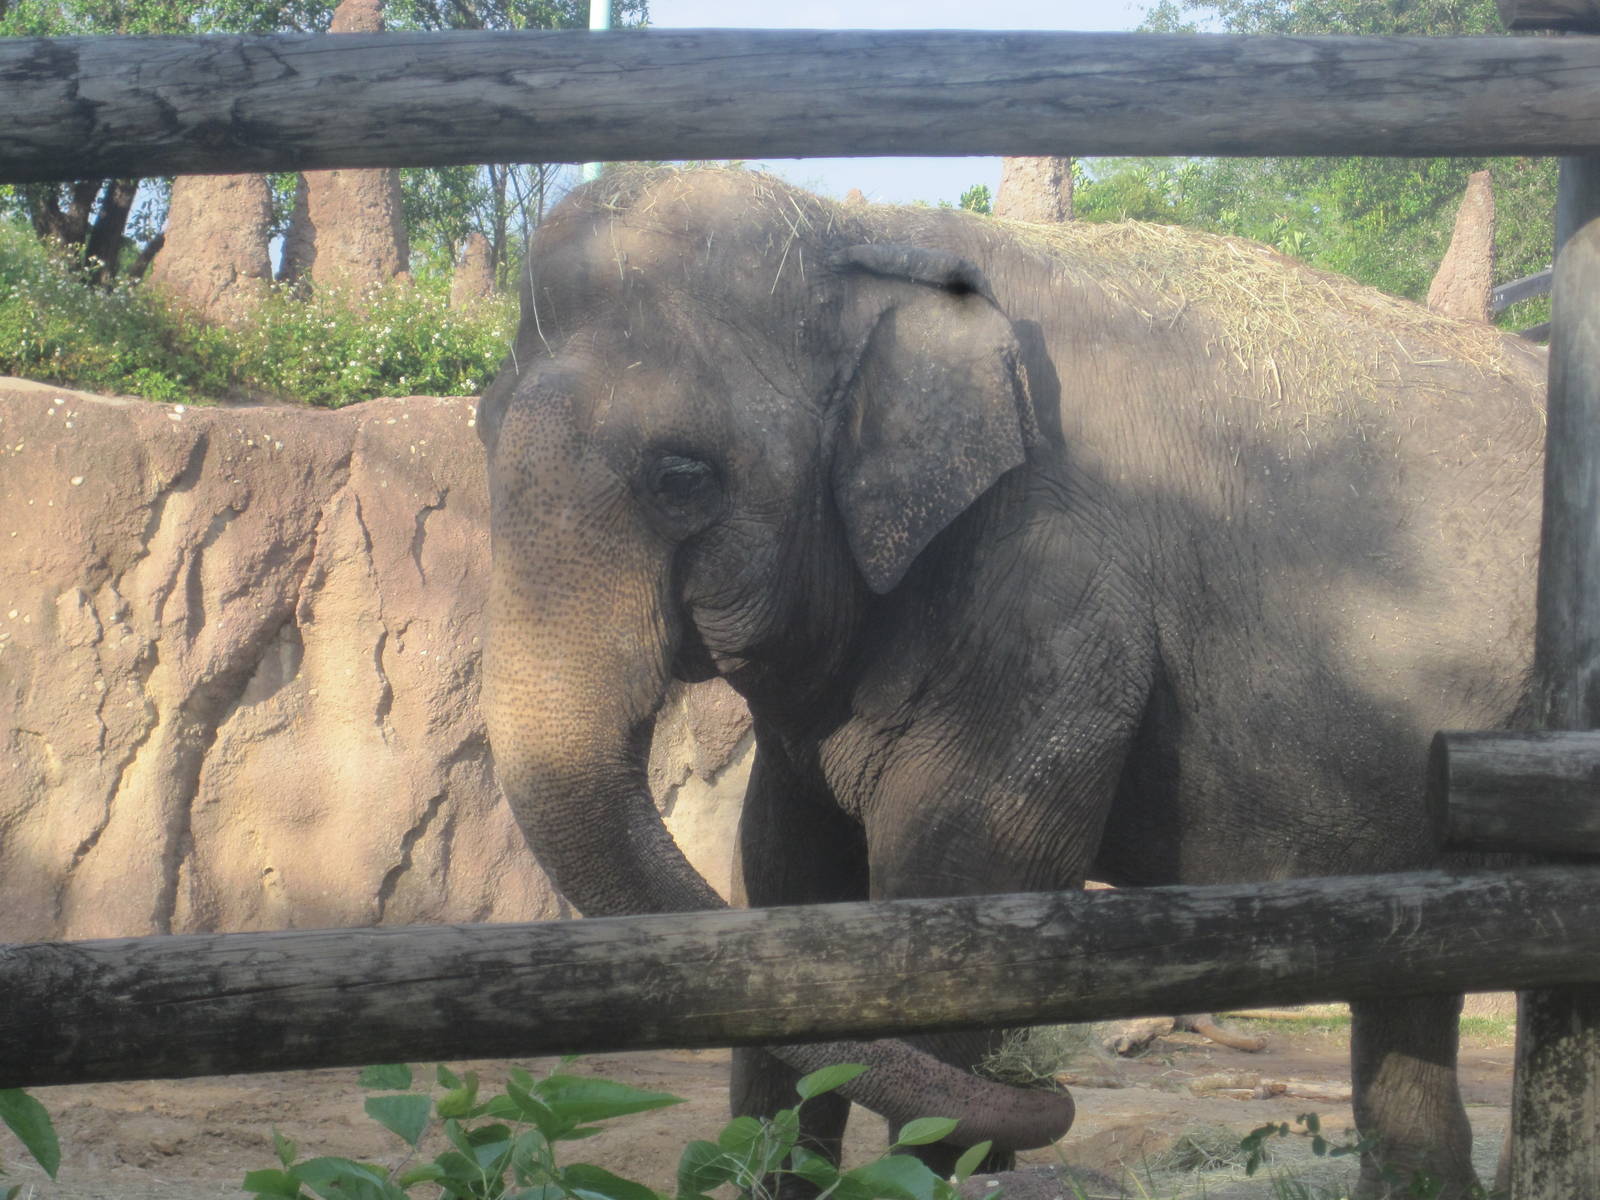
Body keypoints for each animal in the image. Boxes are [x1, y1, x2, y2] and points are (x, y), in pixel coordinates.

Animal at [477, 167, 1546, 1199]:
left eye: (682, 477)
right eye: (485, 432)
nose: (1050, 1088)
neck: (858, 234)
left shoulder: (1054, 584)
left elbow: (956, 880)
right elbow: (785, 873)